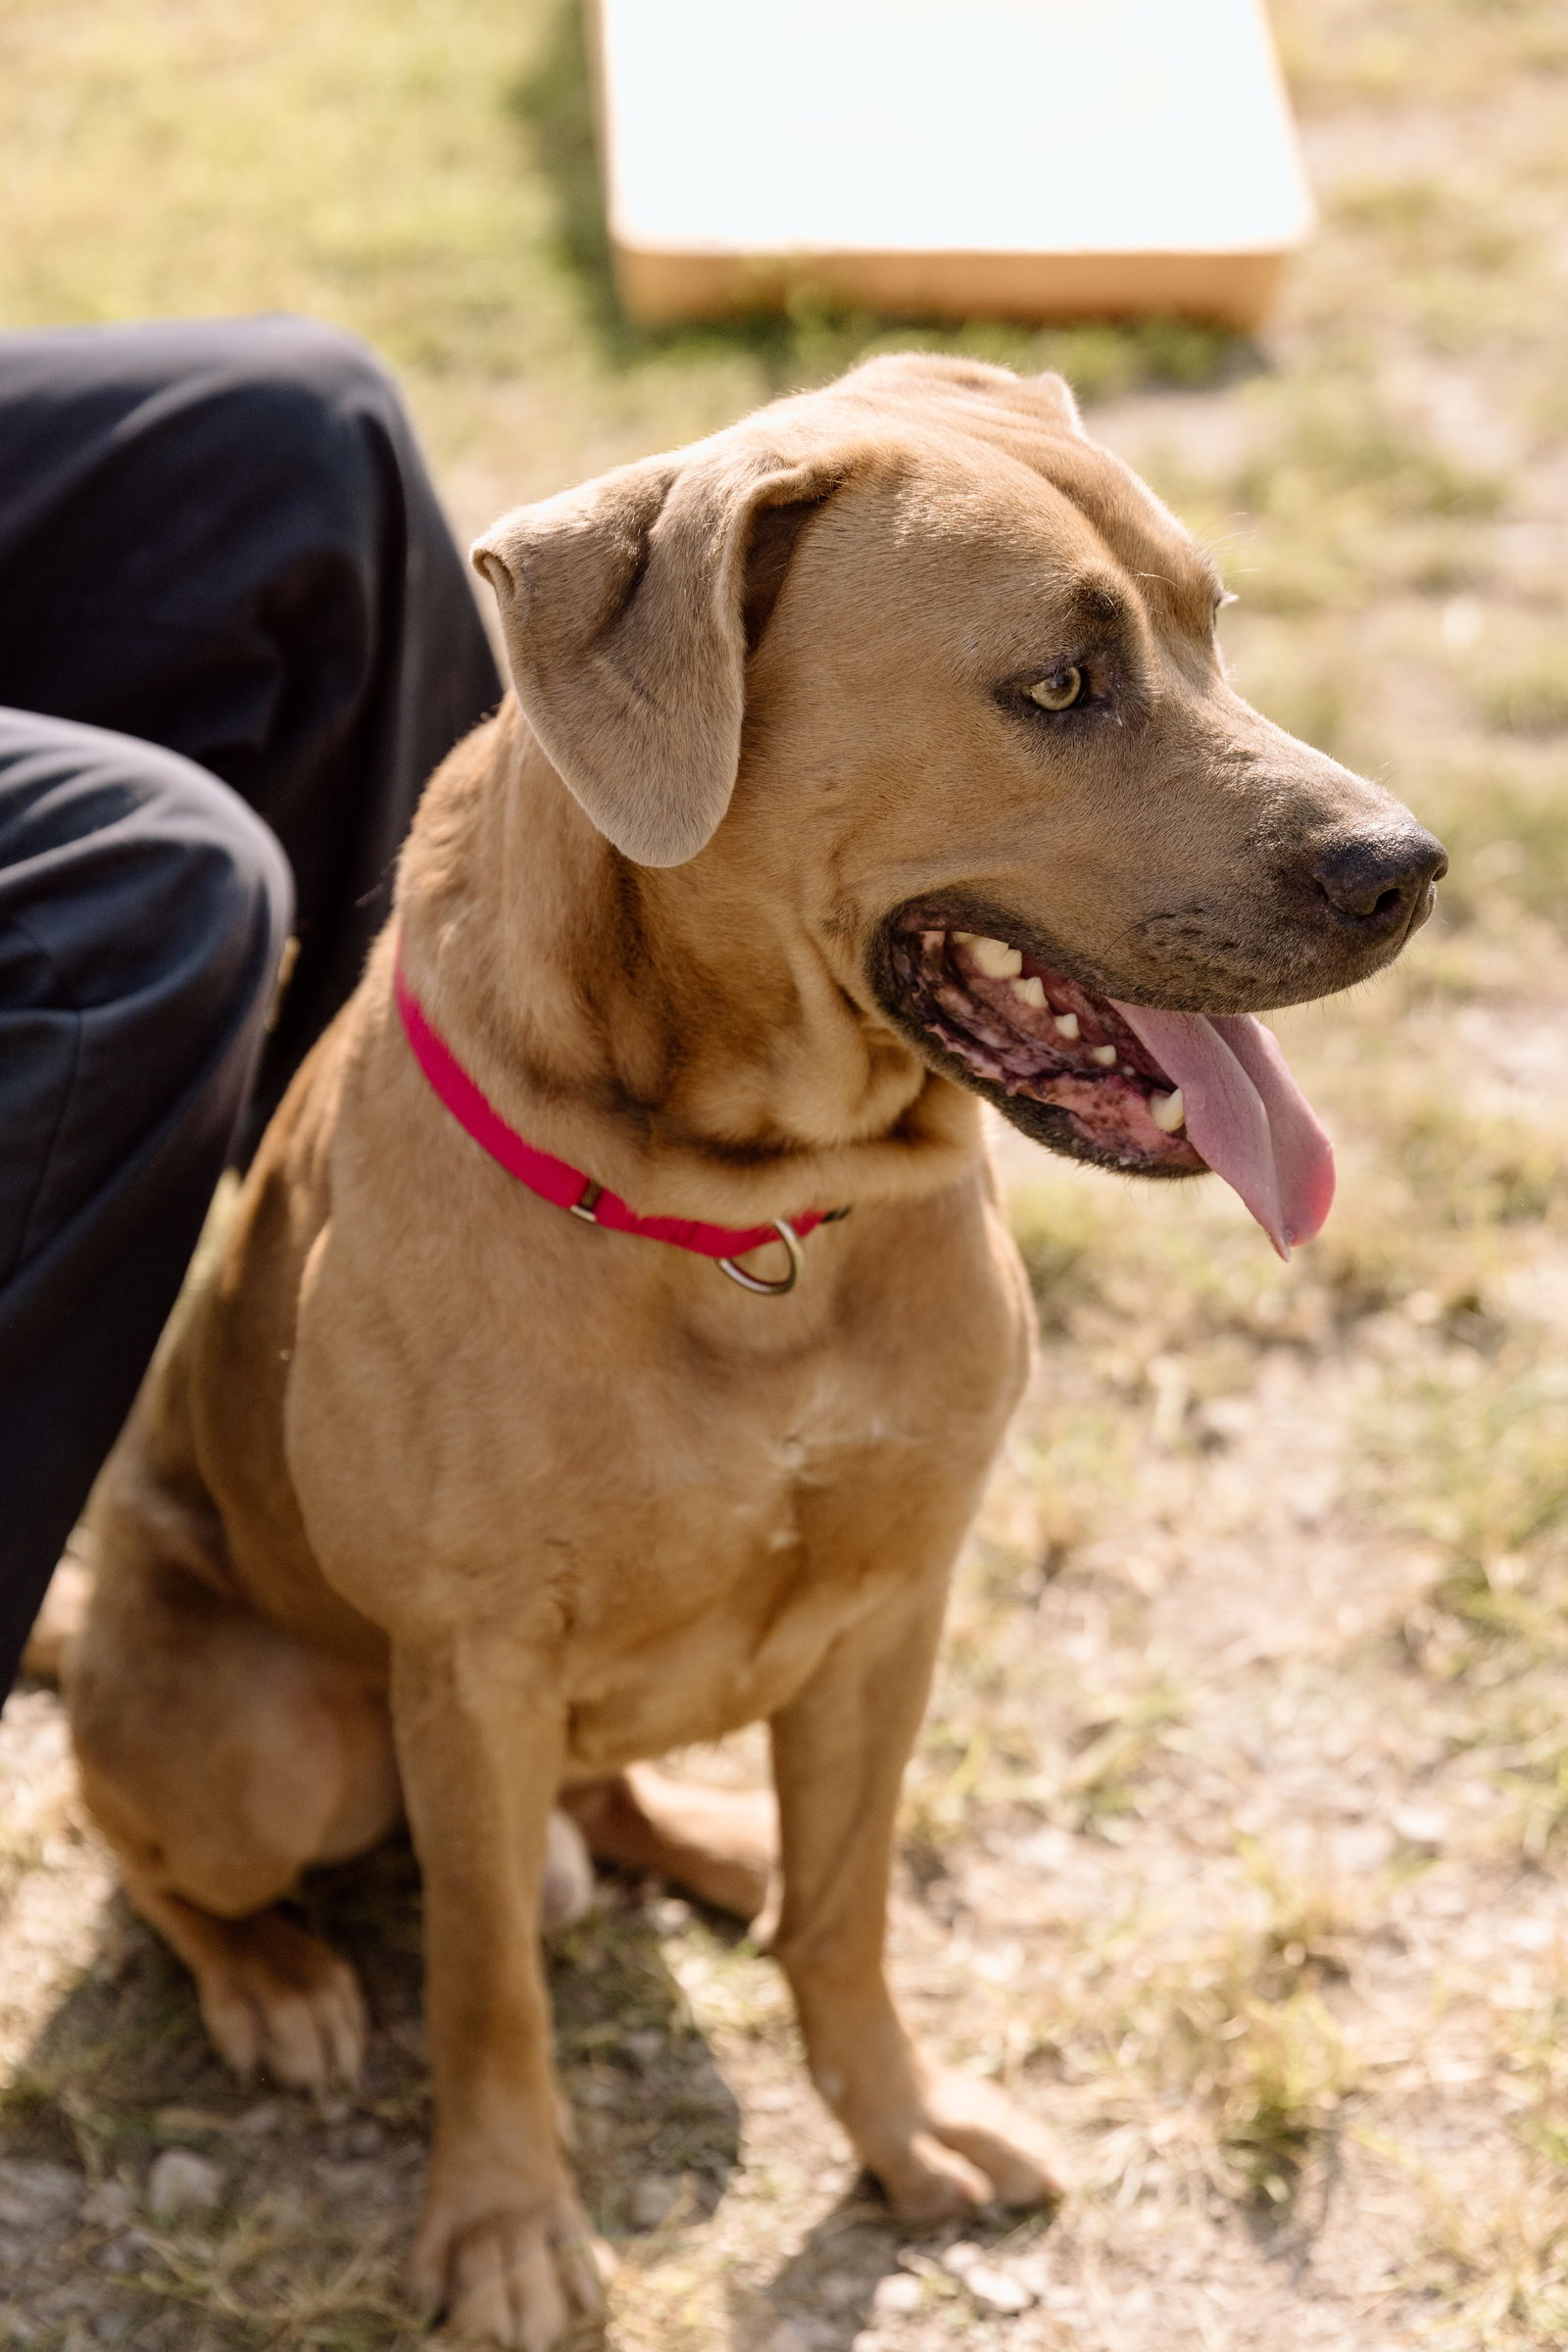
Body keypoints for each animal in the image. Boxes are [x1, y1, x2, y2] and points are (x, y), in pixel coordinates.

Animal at [70, 357, 1447, 2342]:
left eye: (1215, 623)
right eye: (1060, 684)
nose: (1408, 867)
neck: (758, 1212)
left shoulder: (891, 1612)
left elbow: (849, 1912)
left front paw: (900, 2124)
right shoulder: (471, 1662)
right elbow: (488, 1986)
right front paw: (504, 2224)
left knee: (631, 1805)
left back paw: (718, 1840)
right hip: (260, 1737)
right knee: (159, 1842)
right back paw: (269, 1977)